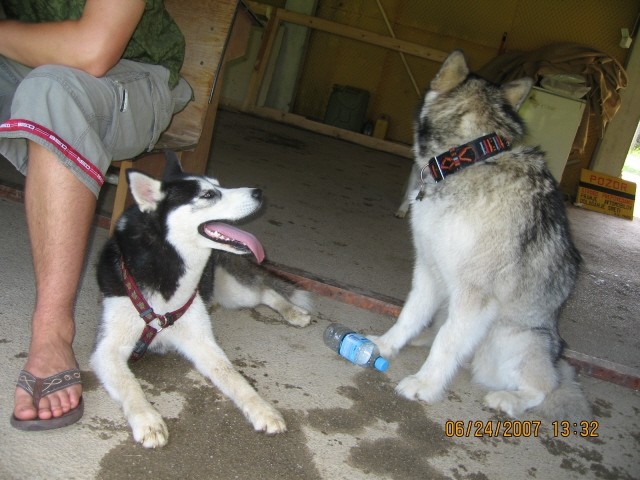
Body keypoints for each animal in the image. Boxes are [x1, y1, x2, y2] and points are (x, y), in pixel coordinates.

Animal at [92, 156, 310, 448]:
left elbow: (234, 376)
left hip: (233, 290)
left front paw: (263, 409)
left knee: (265, 291)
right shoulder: (107, 349)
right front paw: (148, 420)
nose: (258, 192)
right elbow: (130, 384)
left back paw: (293, 311)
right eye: (208, 195)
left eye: (219, 185)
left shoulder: (202, 341)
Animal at [376, 50, 592, 420]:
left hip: (510, 340)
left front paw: (424, 384)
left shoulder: (474, 296)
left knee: (543, 388)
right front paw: (386, 345)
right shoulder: (429, 271)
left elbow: (447, 342)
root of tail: (556, 357)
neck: (469, 158)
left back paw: (509, 399)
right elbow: (410, 315)